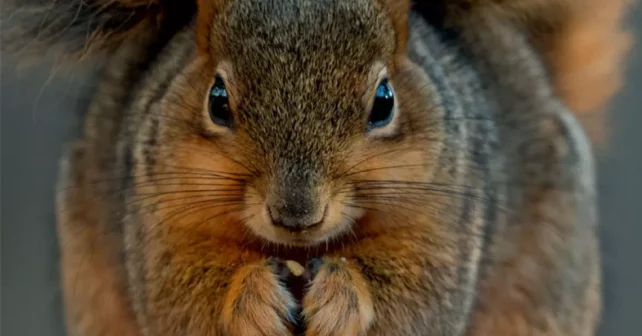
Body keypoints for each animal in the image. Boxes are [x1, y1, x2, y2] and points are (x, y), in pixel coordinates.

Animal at [0, 0, 632, 334]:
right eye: (217, 100)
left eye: (384, 101)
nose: (295, 213)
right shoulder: (158, 223)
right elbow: (182, 298)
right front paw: (251, 298)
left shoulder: (447, 223)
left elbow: (416, 300)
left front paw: (344, 294)